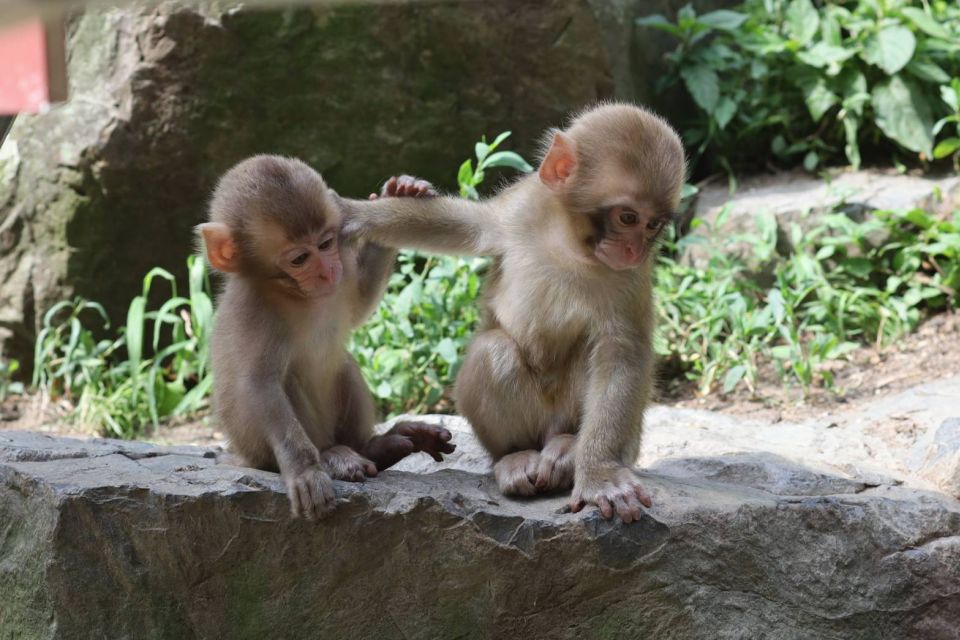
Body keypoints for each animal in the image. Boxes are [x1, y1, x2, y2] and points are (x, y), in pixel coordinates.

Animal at [197, 156, 455, 520]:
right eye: (300, 258)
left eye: (325, 243)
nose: (327, 271)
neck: (295, 294)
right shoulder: (255, 311)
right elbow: (260, 385)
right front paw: (305, 471)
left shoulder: (342, 278)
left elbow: (360, 306)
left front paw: (400, 192)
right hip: (258, 449)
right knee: (287, 382)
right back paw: (334, 457)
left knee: (342, 365)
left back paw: (379, 446)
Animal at [341, 103, 685, 524]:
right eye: (628, 218)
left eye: (653, 224)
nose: (634, 249)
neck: (568, 244)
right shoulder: (520, 209)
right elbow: (466, 226)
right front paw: (354, 213)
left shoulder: (629, 279)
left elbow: (621, 353)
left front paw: (601, 474)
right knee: (493, 348)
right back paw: (515, 456)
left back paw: (567, 449)